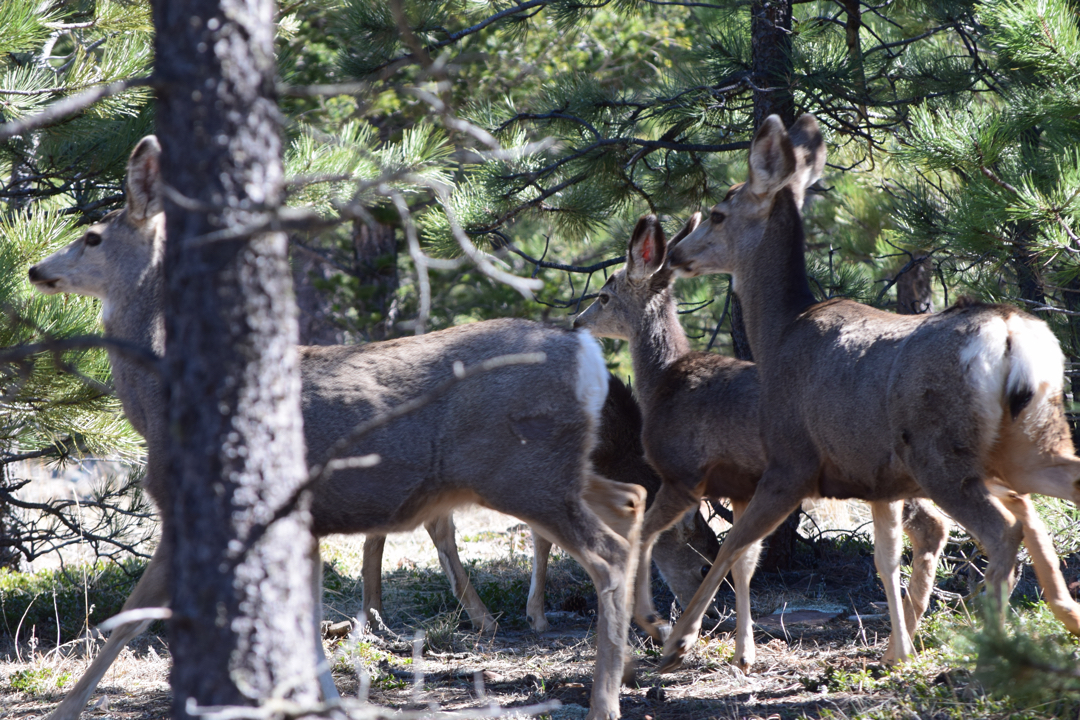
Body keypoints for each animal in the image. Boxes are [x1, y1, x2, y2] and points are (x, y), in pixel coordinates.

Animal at [29, 136, 643, 720]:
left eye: (91, 237)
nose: (37, 269)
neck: (159, 402)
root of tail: (588, 357)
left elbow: (132, 616)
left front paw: (64, 709)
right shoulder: (304, 523)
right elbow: (310, 625)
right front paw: (329, 701)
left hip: (520, 470)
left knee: (608, 553)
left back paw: (605, 700)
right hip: (555, 467)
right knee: (632, 498)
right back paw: (641, 651)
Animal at [358, 371, 721, 634]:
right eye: (704, 565)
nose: (711, 616)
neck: (617, 454)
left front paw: (536, 615)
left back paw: (377, 613)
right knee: (430, 525)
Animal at [570, 213, 950, 669]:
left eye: (604, 295)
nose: (576, 321)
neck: (664, 379)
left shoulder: (685, 475)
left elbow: (680, 544)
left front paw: (672, 634)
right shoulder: (741, 487)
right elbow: (744, 561)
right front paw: (743, 651)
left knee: (931, 525)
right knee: (932, 525)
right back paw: (906, 636)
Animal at [656, 110, 1080, 673]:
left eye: (720, 214)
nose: (675, 253)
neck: (779, 334)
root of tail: (1012, 332)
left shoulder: (791, 460)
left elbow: (731, 547)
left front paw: (678, 643)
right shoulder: (879, 480)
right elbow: (886, 557)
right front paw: (897, 650)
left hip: (940, 451)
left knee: (1004, 531)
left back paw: (995, 645)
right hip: (1030, 438)